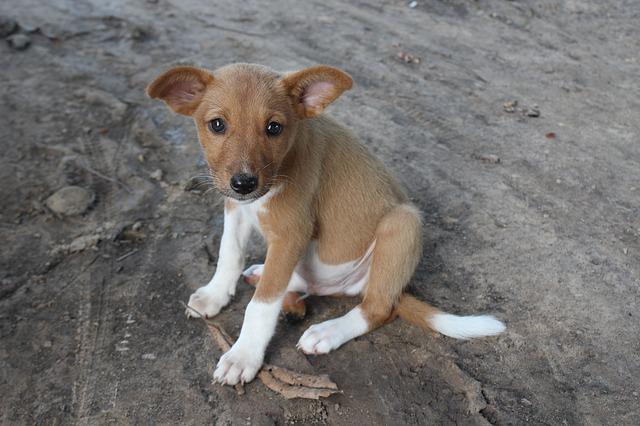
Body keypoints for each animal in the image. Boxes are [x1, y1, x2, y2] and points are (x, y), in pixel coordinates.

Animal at [146, 63, 504, 386]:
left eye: (274, 128)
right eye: (217, 125)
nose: (244, 183)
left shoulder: (291, 234)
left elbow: (261, 305)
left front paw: (243, 355)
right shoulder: (235, 209)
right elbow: (228, 255)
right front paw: (215, 295)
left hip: (403, 224)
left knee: (377, 308)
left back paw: (328, 331)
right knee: (305, 282)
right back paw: (265, 274)